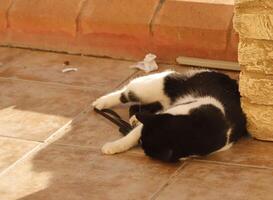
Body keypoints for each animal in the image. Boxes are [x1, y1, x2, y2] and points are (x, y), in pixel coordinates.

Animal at [91, 69, 246, 162]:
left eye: (144, 146)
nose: (142, 148)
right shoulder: (165, 115)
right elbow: (132, 135)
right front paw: (114, 146)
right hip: (154, 86)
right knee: (127, 92)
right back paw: (101, 102)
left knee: (137, 106)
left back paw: (134, 118)